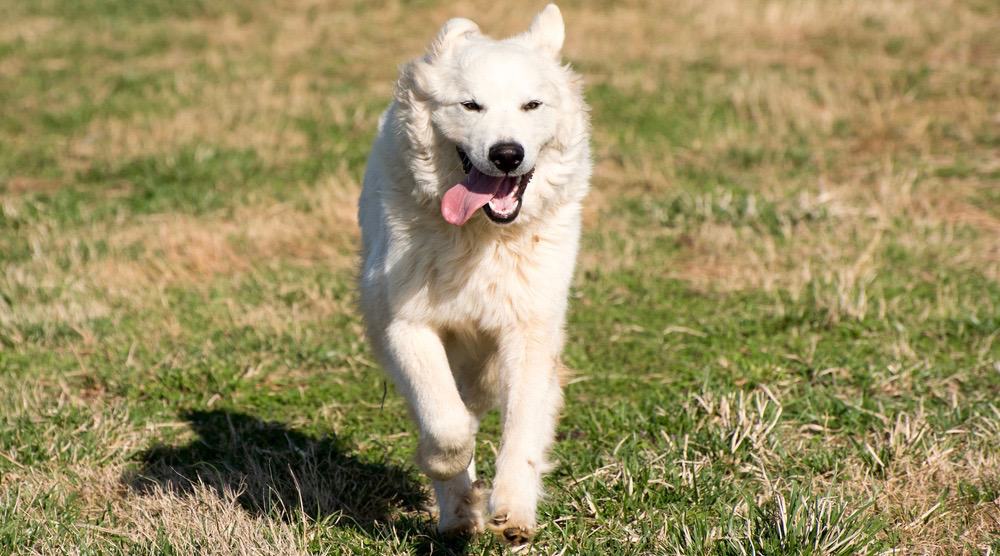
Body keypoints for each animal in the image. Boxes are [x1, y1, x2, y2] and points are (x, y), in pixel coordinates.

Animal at [360, 3, 588, 544]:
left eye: (531, 105)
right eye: (471, 106)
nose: (507, 154)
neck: (482, 238)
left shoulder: (529, 333)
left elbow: (521, 429)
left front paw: (513, 511)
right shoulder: (406, 327)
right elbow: (446, 424)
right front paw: (445, 466)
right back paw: (459, 514)